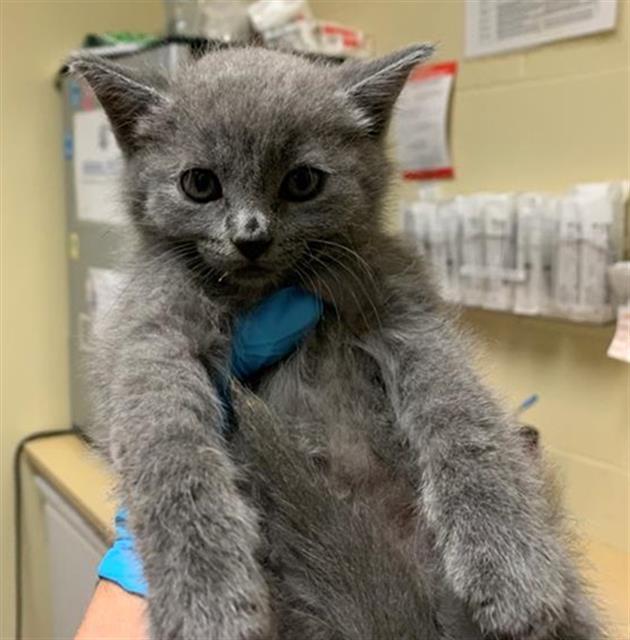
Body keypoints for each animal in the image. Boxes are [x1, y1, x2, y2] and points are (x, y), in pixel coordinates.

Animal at [69, 46, 608, 640]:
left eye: (303, 181)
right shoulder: (148, 335)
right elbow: (169, 454)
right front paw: (207, 602)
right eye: (200, 184)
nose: (250, 236)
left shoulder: (405, 308)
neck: (262, 291)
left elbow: (462, 413)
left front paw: (511, 566)